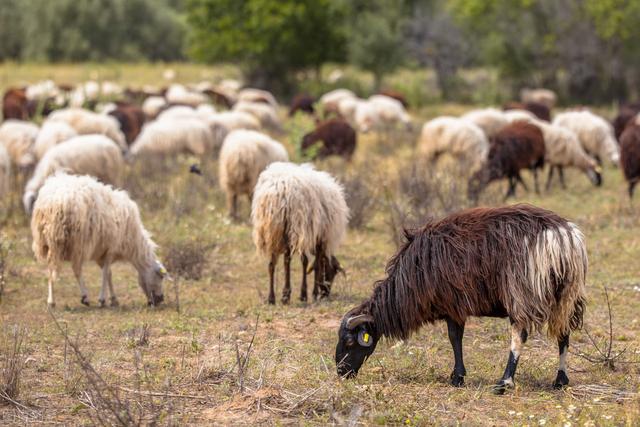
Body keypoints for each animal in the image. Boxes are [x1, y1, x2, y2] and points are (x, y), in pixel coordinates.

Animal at [31, 173, 166, 308]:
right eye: (160, 277)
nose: (160, 300)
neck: (133, 243)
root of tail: (56, 201)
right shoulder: (111, 248)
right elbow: (106, 273)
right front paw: (102, 299)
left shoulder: (101, 252)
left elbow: (109, 274)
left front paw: (113, 299)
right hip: (77, 243)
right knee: (76, 269)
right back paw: (84, 297)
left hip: (48, 242)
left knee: (50, 269)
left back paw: (51, 301)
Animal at [251, 161, 350, 304]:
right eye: (332, 272)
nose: (326, 294)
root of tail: (282, 189)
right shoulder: (319, 237)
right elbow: (316, 264)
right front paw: (312, 293)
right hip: (299, 226)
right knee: (299, 260)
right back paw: (297, 294)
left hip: (274, 230)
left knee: (273, 263)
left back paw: (273, 298)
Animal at [338, 204, 588, 394]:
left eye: (350, 341)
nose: (341, 372)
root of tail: (560, 237)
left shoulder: (453, 305)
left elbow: (454, 338)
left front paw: (457, 377)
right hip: (567, 295)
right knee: (564, 334)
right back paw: (559, 380)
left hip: (522, 291)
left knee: (519, 335)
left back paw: (504, 383)